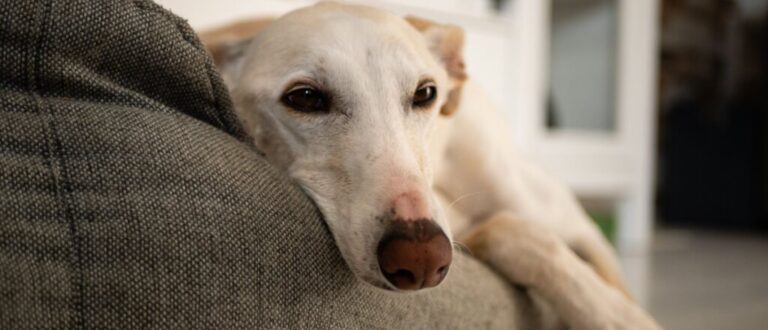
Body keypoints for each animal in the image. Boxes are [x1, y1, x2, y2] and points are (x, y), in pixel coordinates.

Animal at [201, 3, 656, 330]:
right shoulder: (461, 228)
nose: (421, 259)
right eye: (305, 97)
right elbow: (507, 231)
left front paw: (621, 315)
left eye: (425, 93)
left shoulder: (585, 232)